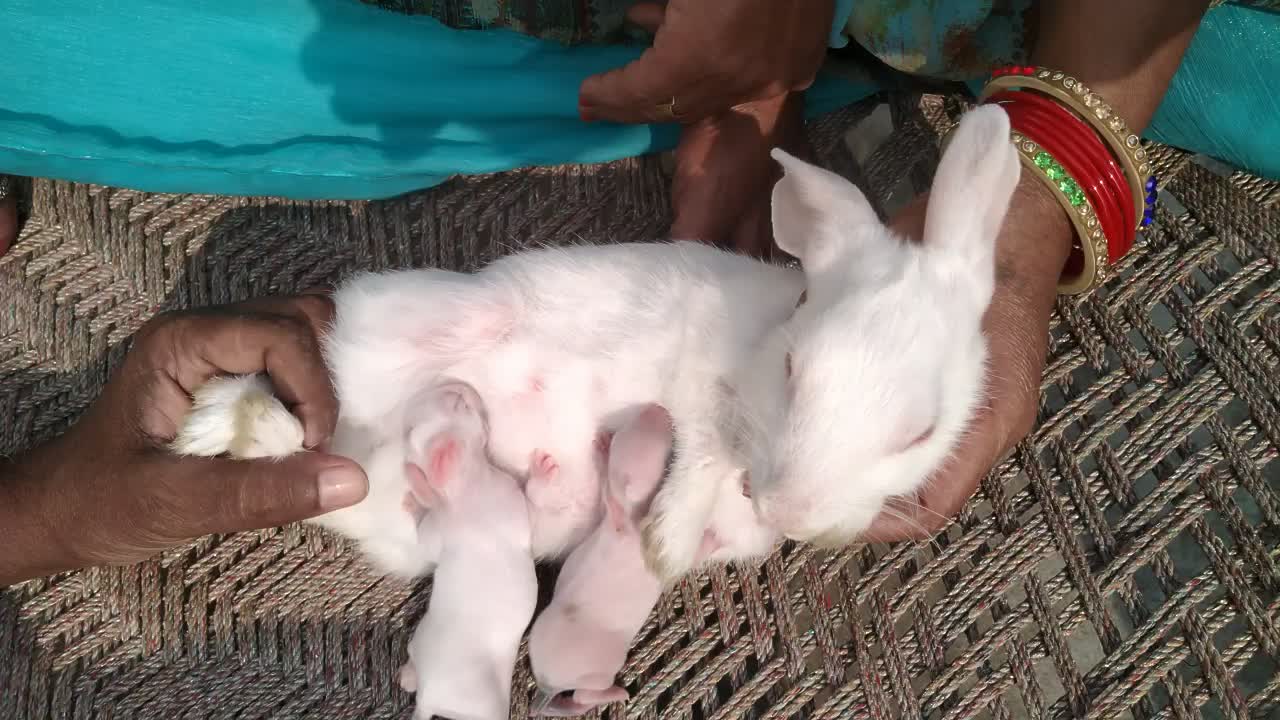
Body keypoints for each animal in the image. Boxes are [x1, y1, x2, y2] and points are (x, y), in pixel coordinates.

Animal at [399, 379, 540, 717]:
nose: (457, 382)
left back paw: (408, 679)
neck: (465, 487)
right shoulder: (444, 526)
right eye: (459, 403)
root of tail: (429, 697)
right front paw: (416, 502)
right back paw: (407, 676)